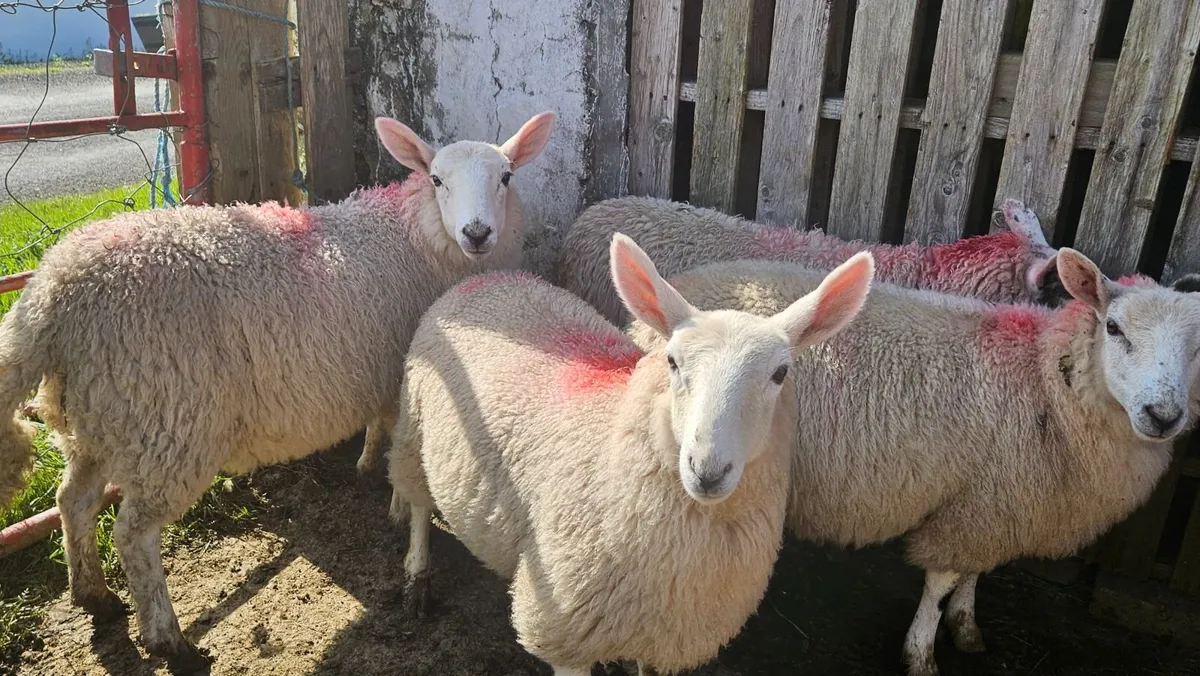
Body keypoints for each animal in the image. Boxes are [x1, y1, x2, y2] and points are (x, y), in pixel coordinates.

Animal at [0, 110, 556, 669]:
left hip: (97, 416)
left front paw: (366, 464)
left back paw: (94, 595)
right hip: (167, 420)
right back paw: (170, 641)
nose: (477, 232)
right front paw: (399, 502)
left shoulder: (386, 369)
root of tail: (52, 291)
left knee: (74, 501)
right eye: (438, 179)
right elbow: (399, 437)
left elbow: (380, 424)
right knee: (133, 533)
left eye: (506, 177)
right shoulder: (408, 367)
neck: (414, 235)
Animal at [385, 234, 875, 675]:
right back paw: (416, 578)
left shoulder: (662, 638)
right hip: (414, 428)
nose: (707, 469)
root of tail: (492, 277)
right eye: (672, 362)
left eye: (780, 373)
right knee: (416, 502)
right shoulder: (561, 627)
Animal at [625, 250, 1200, 676]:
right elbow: (942, 580)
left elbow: (975, 572)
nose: (1163, 415)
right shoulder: (975, 506)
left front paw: (967, 627)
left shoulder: (997, 504)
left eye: (1198, 346)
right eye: (1114, 327)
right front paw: (922, 652)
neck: (1045, 382)